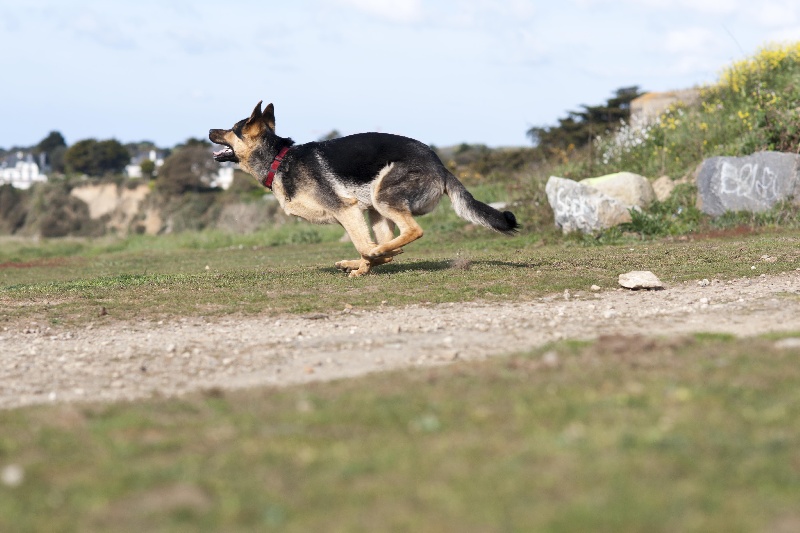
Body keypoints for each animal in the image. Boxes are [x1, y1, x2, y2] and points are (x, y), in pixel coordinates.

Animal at [209, 101, 519, 277]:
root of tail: (440, 166)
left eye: (233, 129)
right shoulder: (351, 214)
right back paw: (363, 262)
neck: (279, 159)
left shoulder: (347, 210)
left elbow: (362, 244)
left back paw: (373, 255)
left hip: (382, 198)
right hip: (376, 210)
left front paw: (368, 258)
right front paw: (361, 266)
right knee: (391, 241)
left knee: (410, 232)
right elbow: (366, 245)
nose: (210, 131)